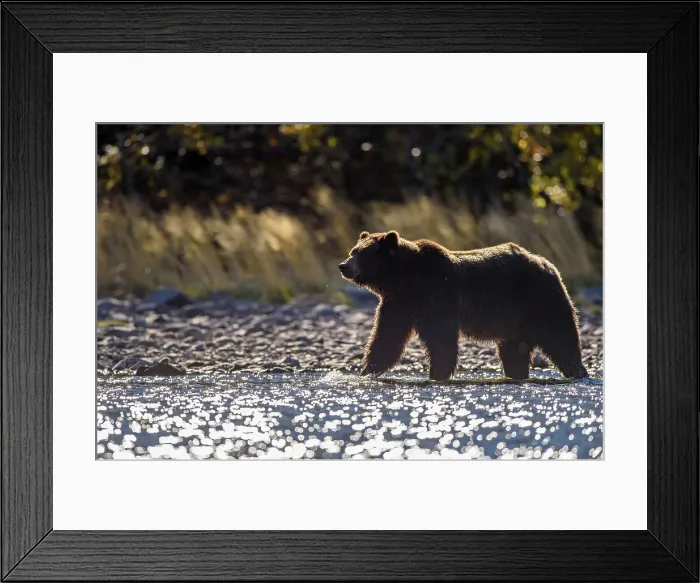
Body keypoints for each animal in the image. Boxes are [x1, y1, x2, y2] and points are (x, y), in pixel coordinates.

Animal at [338, 230, 588, 381]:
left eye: (362, 254)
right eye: (353, 251)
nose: (343, 266)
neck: (404, 280)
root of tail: (547, 264)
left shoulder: (437, 296)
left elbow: (441, 341)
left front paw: (437, 374)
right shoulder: (398, 304)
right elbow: (386, 339)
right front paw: (366, 371)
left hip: (539, 301)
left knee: (561, 339)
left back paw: (578, 372)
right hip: (515, 321)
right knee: (514, 351)